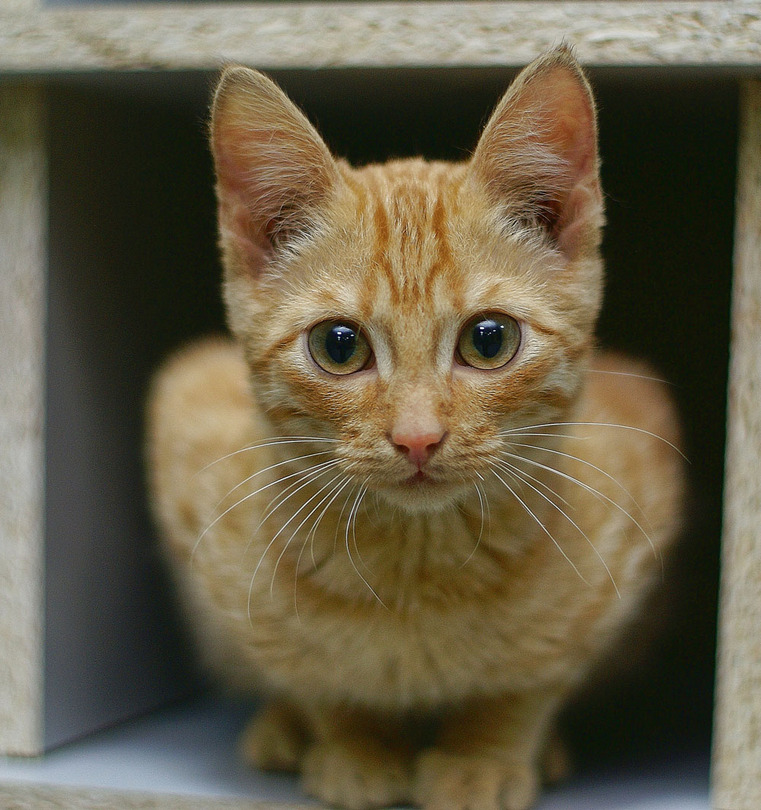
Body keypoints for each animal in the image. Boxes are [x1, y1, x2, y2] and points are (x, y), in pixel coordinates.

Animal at [144, 49, 684, 808]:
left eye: (489, 340)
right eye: (338, 346)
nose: (418, 437)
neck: (414, 568)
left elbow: (538, 673)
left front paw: (483, 755)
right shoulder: (190, 439)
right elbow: (303, 666)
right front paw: (351, 743)